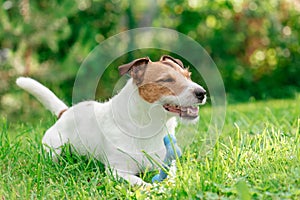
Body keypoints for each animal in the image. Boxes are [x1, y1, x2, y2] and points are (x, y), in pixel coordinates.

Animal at [16, 55, 206, 186]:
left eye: (188, 75)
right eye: (166, 79)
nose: (202, 93)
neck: (147, 125)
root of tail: (66, 112)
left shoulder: (166, 164)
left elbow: (171, 176)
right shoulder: (118, 171)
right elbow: (140, 183)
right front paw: (152, 189)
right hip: (53, 149)